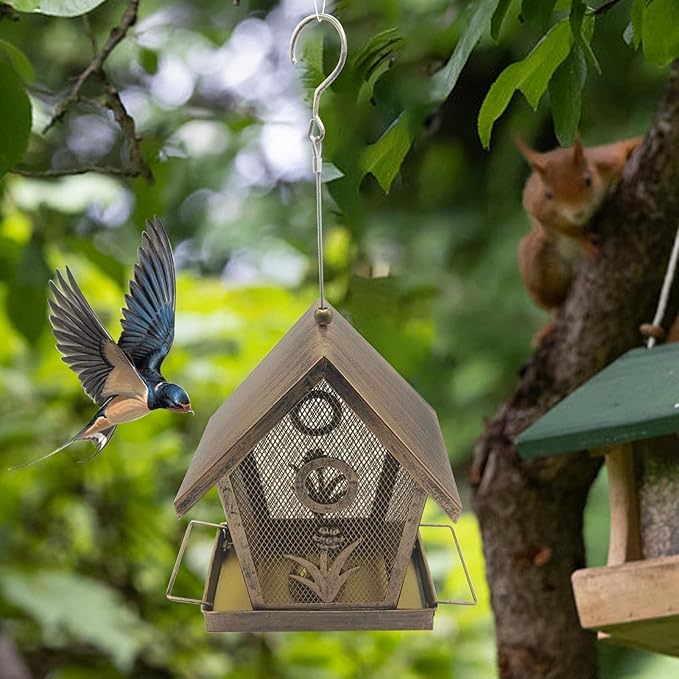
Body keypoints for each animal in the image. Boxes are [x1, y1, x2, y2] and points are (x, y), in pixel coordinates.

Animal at [516, 135, 642, 315]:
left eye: (588, 180)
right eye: (548, 195)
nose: (577, 213)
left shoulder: (607, 160)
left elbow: (622, 148)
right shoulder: (540, 211)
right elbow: (561, 228)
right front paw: (583, 239)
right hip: (537, 262)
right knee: (553, 301)